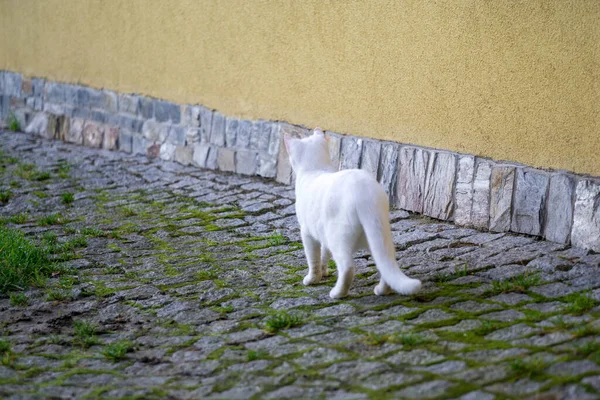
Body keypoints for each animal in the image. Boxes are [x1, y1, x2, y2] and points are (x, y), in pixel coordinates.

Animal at [286, 127, 422, 296]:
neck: (316, 168)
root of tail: (365, 195)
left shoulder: (307, 233)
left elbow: (314, 260)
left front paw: (313, 279)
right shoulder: (321, 234)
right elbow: (324, 255)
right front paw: (324, 273)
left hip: (338, 238)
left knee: (348, 267)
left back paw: (337, 293)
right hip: (378, 239)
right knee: (386, 265)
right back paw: (382, 290)